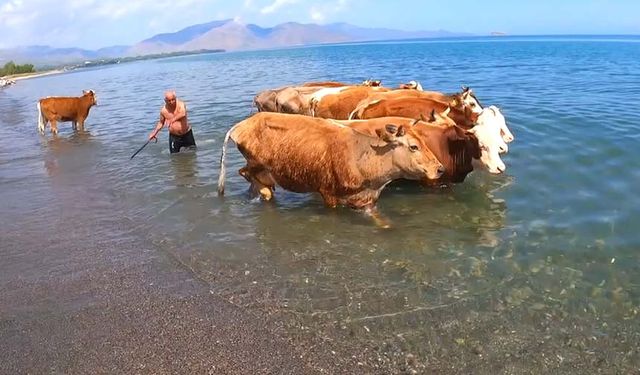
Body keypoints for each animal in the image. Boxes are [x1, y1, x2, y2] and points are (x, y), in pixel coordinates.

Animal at [216, 111, 444, 222]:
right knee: (244, 173)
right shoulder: (328, 192)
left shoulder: (365, 199)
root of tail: (242, 124)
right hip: (256, 162)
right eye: (413, 146)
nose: (440, 169)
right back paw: (265, 191)